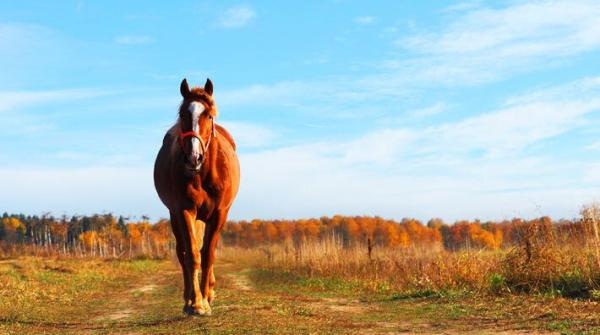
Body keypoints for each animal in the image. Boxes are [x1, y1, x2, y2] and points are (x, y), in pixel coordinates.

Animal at [154, 79, 240, 318]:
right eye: (183, 113)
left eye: (208, 115)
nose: (194, 158)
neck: (202, 174)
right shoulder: (184, 211)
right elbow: (192, 254)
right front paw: (197, 304)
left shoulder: (219, 213)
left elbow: (208, 253)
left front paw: (206, 298)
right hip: (175, 215)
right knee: (182, 252)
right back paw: (190, 299)